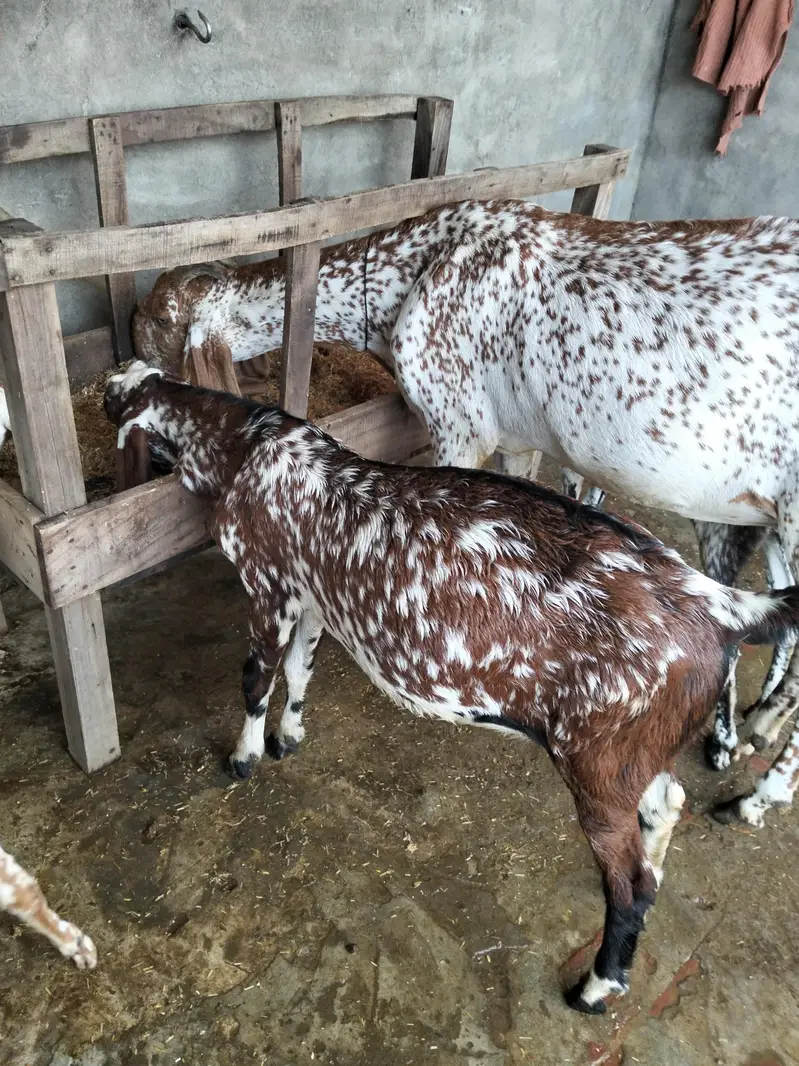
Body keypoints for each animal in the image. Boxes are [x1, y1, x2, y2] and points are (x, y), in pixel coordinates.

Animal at [104, 362, 799, 1013]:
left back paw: (596, 987)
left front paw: (243, 757)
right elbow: (300, 670)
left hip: (597, 766)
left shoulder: (269, 583)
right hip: (634, 753)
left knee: (630, 883)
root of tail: (725, 606)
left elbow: (256, 677)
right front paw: (288, 737)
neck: (247, 445)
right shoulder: (315, 596)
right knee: (666, 810)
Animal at [131, 202, 799, 803]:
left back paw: (760, 793)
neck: (418, 268)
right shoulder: (518, 440)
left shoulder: (459, 421)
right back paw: (749, 727)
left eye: (158, 321)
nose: (130, 371)